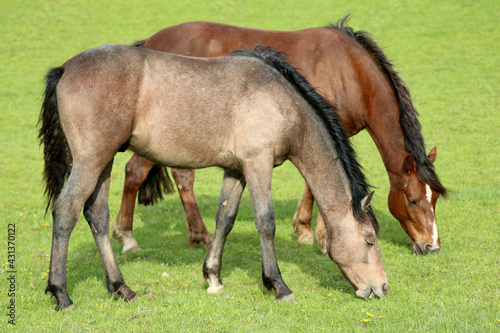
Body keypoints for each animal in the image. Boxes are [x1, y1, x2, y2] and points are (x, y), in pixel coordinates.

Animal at [40, 44, 390, 308]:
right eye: (369, 240)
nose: (382, 288)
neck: (282, 100)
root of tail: (65, 69)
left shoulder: (236, 170)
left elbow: (226, 219)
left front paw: (213, 278)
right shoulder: (258, 164)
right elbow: (266, 222)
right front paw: (278, 285)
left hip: (104, 162)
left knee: (97, 216)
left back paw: (120, 288)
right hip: (90, 162)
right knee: (66, 211)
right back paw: (61, 294)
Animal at [112, 15, 446, 254]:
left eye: (436, 200)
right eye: (413, 200)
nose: (432, 246)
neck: (350, 72)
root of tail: (150, 42)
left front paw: (304, 228)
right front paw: (319, 235)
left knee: (175, 177)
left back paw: (195, 234)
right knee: (137, 173)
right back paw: (132, 236)